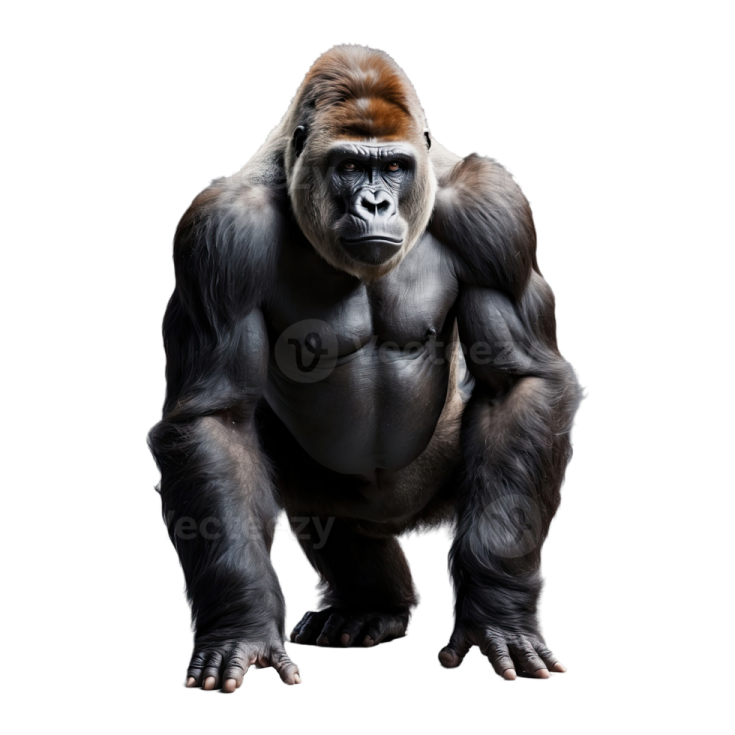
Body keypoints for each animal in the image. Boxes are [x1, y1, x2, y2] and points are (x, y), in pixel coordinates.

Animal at [145, 42, 585, 694]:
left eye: (395, 168)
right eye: (349, 167)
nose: (375, 203)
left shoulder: (494, 213)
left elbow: (517, 383)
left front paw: (498, 614)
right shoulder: (217, 234)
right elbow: (216, 419)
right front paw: (240, 626)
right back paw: (368, 604)